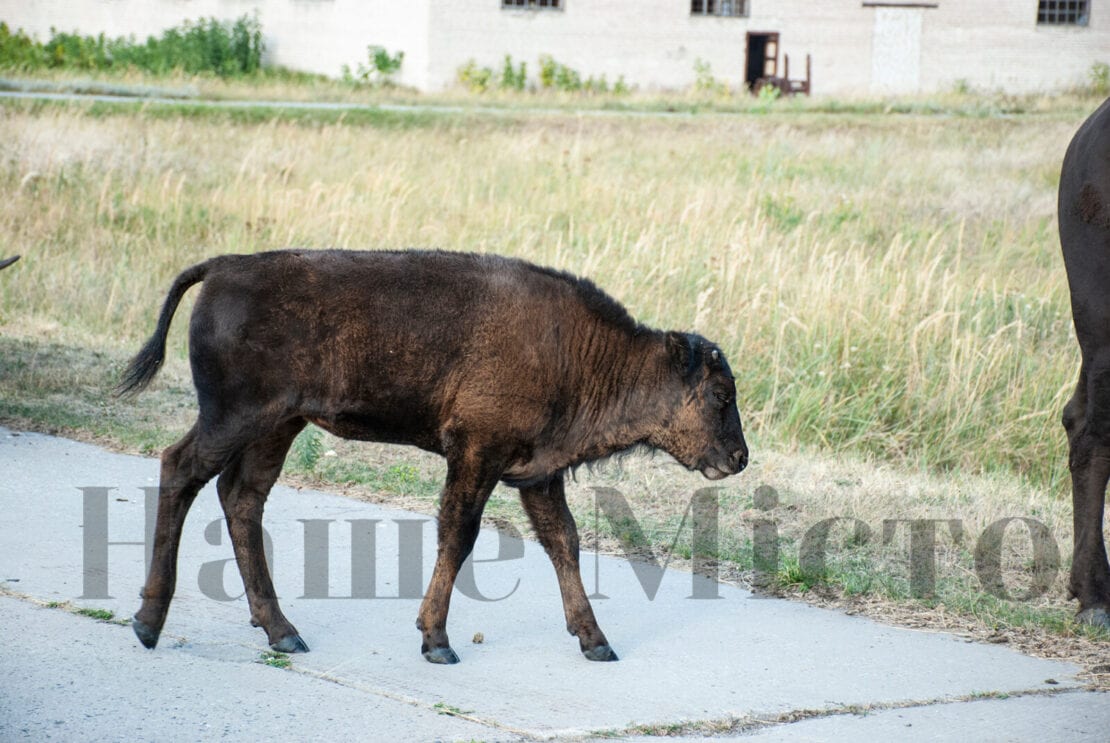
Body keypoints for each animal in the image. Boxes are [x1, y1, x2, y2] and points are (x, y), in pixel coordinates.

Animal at [119, 248, 745, 661]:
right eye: (721, 394)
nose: (739, 458)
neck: (579, 350)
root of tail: (221, 266)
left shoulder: (537, 474)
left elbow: (563, 541)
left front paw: (597, 642)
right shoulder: (475, 455)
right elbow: (459, 534)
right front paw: (437, 641)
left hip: (278, 426)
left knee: (241, 497)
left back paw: (283, 632)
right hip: (234, 418)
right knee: (181, 469)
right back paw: (148, 624)